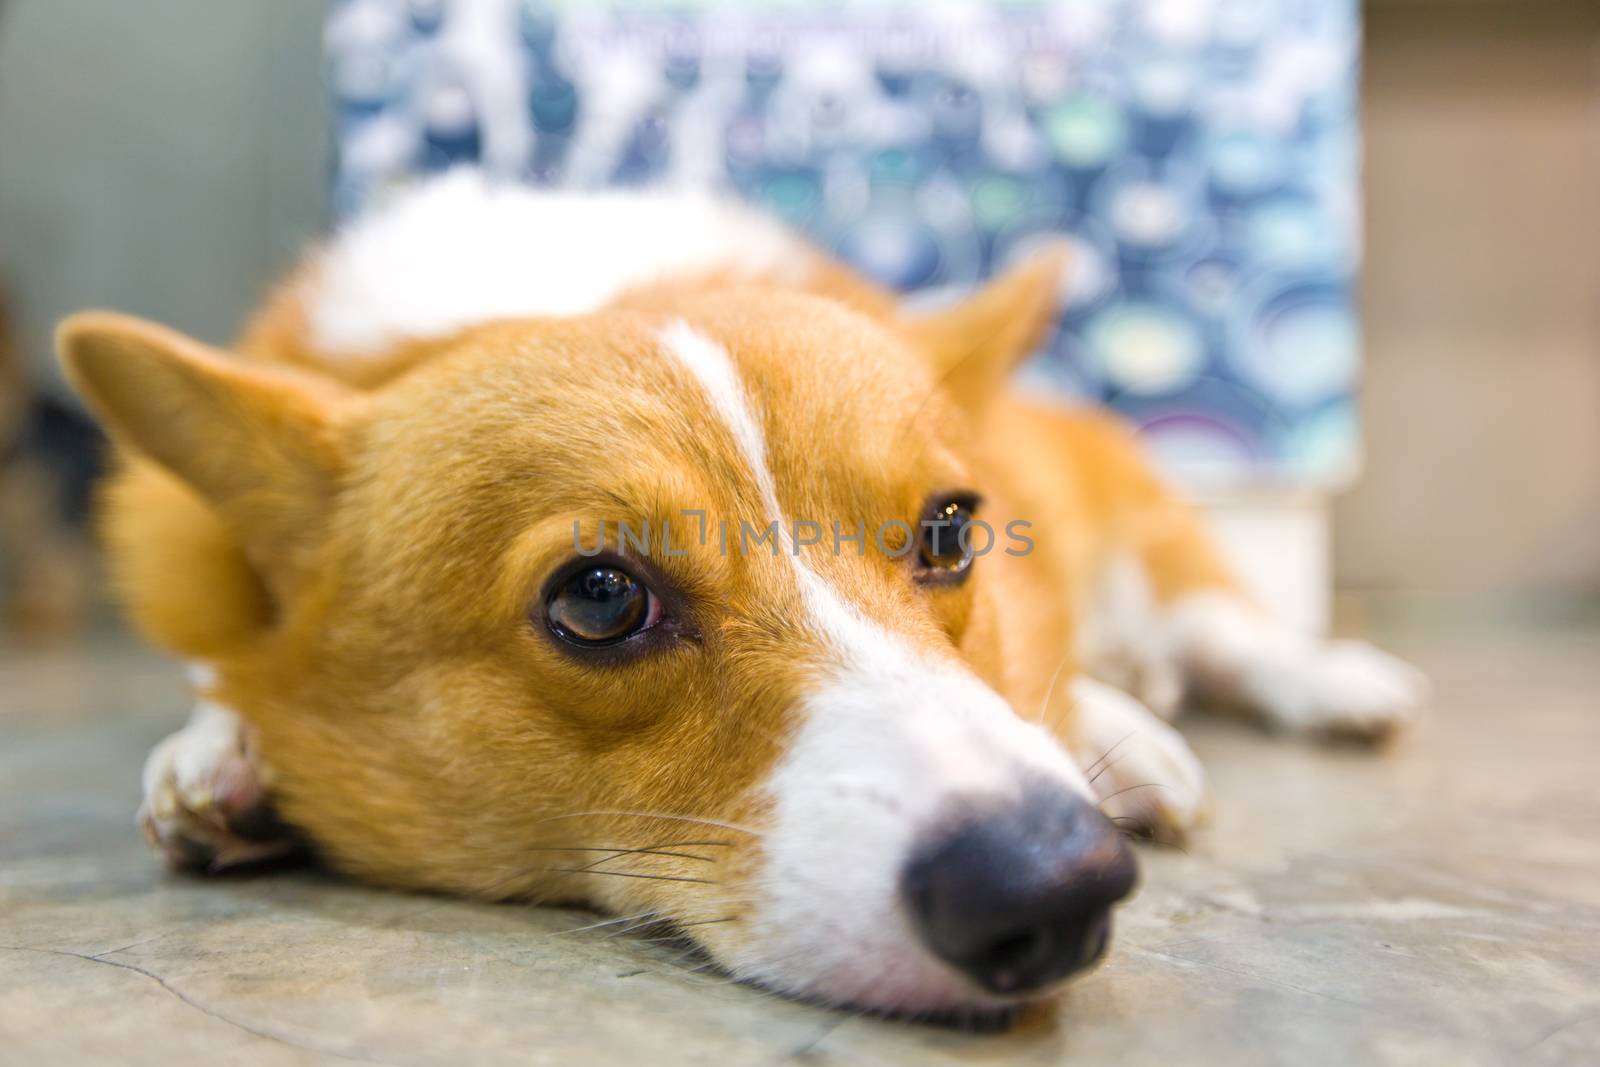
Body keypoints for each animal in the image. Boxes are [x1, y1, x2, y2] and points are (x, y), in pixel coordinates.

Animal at [56, 173, 1427, 1017]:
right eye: (598, 599)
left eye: (950, 529)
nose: (1053, 888)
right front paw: (222, 755)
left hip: (1144, 520)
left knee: (1216, 614)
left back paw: (1290, 691)